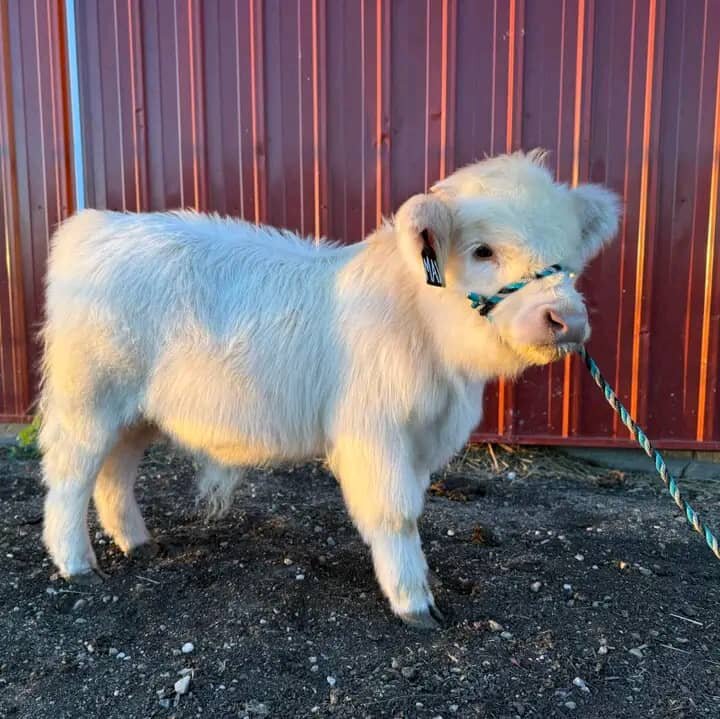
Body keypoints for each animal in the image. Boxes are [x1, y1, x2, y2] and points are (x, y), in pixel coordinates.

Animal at [39, 149, 619, 628]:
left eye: (569, 255)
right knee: (70, 476)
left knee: (114, 474)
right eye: (482, 250)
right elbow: (396, 513)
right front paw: (415, 604)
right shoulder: (376, 434)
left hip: (135, 413)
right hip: (86, 399)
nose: (566, 320)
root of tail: (97, 225)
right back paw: (77, 565)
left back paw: (137, 544)